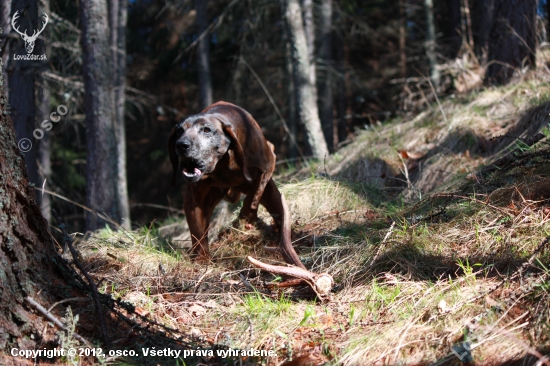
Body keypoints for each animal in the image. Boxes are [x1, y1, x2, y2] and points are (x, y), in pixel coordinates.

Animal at [169, 101, 306, 268]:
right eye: (179, 131)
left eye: (207, 130)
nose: (181, 145)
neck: (222, 165)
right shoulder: (192, 197)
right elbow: (197, 232)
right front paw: (202, 259)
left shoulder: (268, 163)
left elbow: (252, 198)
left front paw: (244, 220)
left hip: (273, 196)